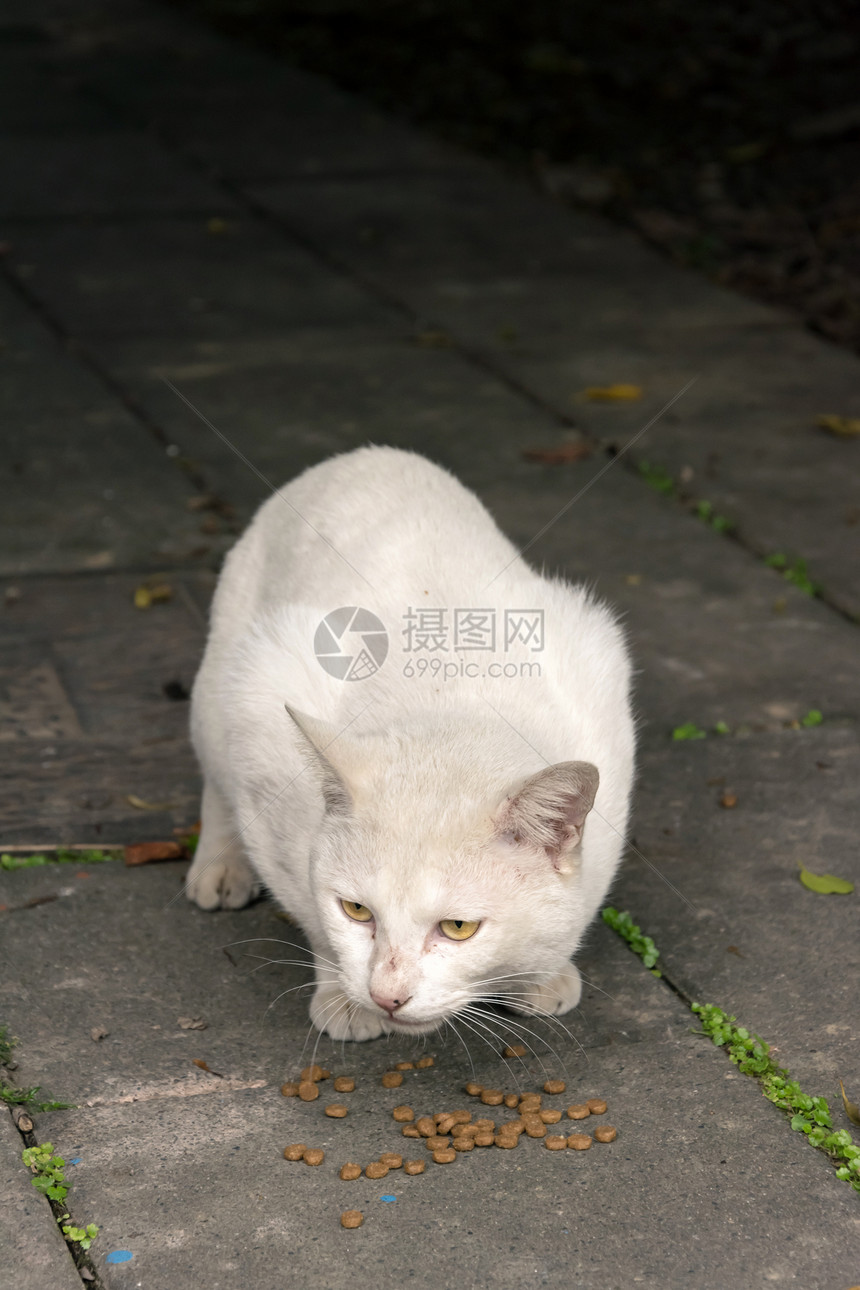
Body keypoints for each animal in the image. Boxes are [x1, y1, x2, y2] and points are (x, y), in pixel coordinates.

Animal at [186, 448, 631, 1042]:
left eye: (458, 927)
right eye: (355, 910)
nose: (387, 996)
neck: (452, 702)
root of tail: (362, 456)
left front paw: (543, 975)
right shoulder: (263, 733)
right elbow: (310, 914)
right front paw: (343, 998)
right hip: (223, 687)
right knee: (215, 779)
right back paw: (219, 865)